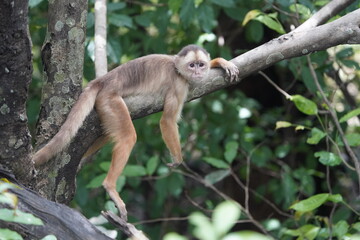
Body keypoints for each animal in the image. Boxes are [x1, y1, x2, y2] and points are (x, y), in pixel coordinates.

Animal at [33, 44, 240, 220]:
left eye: (201, 64)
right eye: (192, 65)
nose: (197, 72)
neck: (177, 70)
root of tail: (103, 79)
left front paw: (221, 62)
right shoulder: (178, 85)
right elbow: (167, 121)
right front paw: (177, 159)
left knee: (106, 134)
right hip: (109, 99)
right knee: (127, 137)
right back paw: (110, 186)